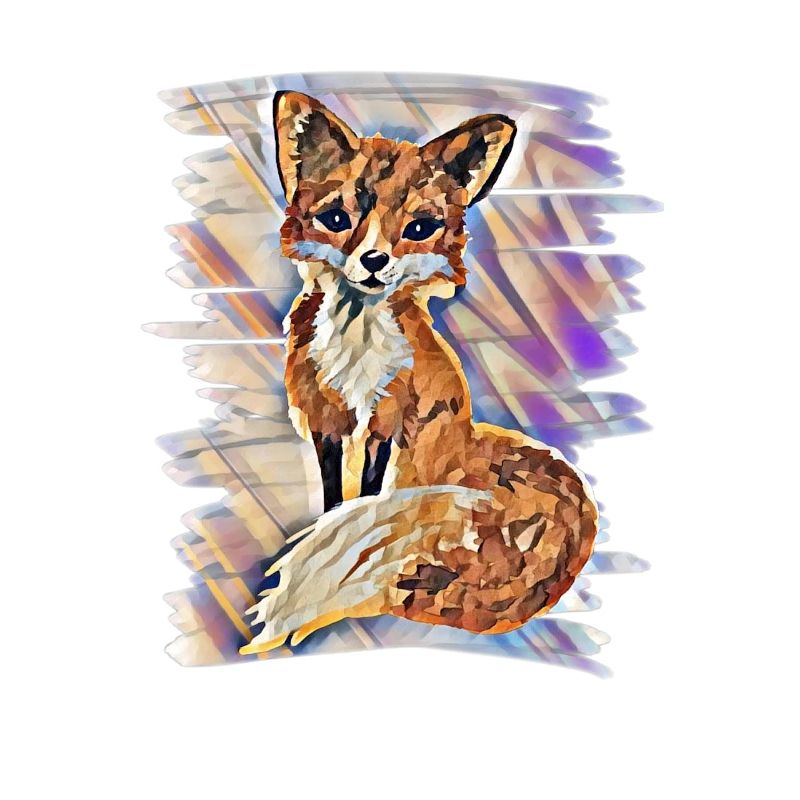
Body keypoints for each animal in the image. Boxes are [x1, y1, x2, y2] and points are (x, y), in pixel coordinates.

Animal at [240, 91, 598, 655]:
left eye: (419, 229)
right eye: (336, 218)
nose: (373, 260)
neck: (357, 344)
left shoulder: (389, 417)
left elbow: (364, 493)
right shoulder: (325, 417)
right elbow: (333, 496)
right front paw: (328, 520)